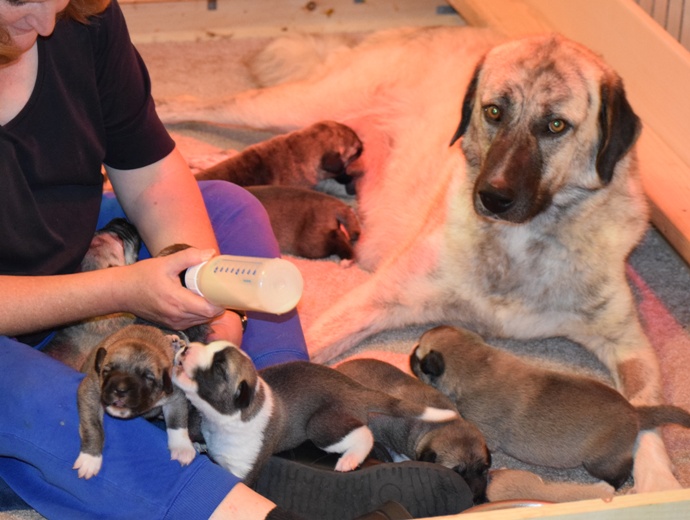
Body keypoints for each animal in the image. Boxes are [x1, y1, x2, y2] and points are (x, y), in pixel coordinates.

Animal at [73, 324, 196, 479]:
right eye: (107, 371)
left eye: (148, 378)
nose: (120, 390)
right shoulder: (91, 392)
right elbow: (93, 427)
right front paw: (90, 458)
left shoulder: (175, 396)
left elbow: (177, 423)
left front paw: (182, 447)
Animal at [172, 340, 457, 485]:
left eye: (219, 368)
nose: (185, 347)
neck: (224, 420)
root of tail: (356, 387)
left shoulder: (243, 473)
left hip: (321, 425)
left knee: (364, 434)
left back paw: (349, 460)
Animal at [410, 325, 690, 489]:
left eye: (419, 358)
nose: (410, 354)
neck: (475, 362)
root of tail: (635, 412)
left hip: (599, 462)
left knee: (621, 472)